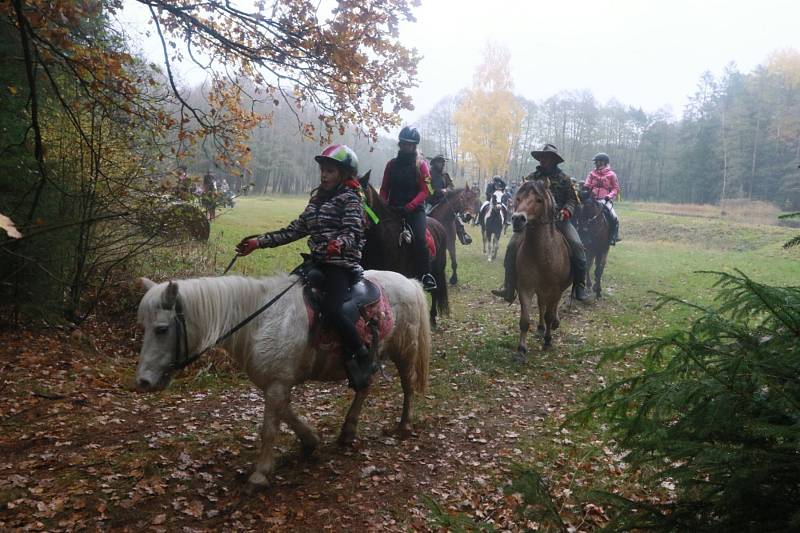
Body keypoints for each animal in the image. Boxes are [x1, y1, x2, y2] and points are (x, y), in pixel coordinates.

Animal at [136, 270, 432, 486]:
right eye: (144, 327)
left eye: (161, 329)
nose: (143, 382)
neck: (261, 321)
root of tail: (409, 281)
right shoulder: (276, 384)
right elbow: (287, 414)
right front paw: (310, 441)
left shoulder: (277, 385)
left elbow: (269, 429)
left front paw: (260, 474)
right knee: (365, 387)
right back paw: (348, 432)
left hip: (405, 351)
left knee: (407, 386)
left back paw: (404, 426)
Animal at [512, 179, 576, 354]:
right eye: (518, 198)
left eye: (539, 200)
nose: (517, 219)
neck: (541, 255)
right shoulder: (525, 287)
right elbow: (525, 320)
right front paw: (521, 349)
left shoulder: (555, 290)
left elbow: (549, 314)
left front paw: (548, 340)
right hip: (541, 289)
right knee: (542, 305)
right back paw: (541, 327)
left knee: (551, 309)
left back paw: (554, 324)